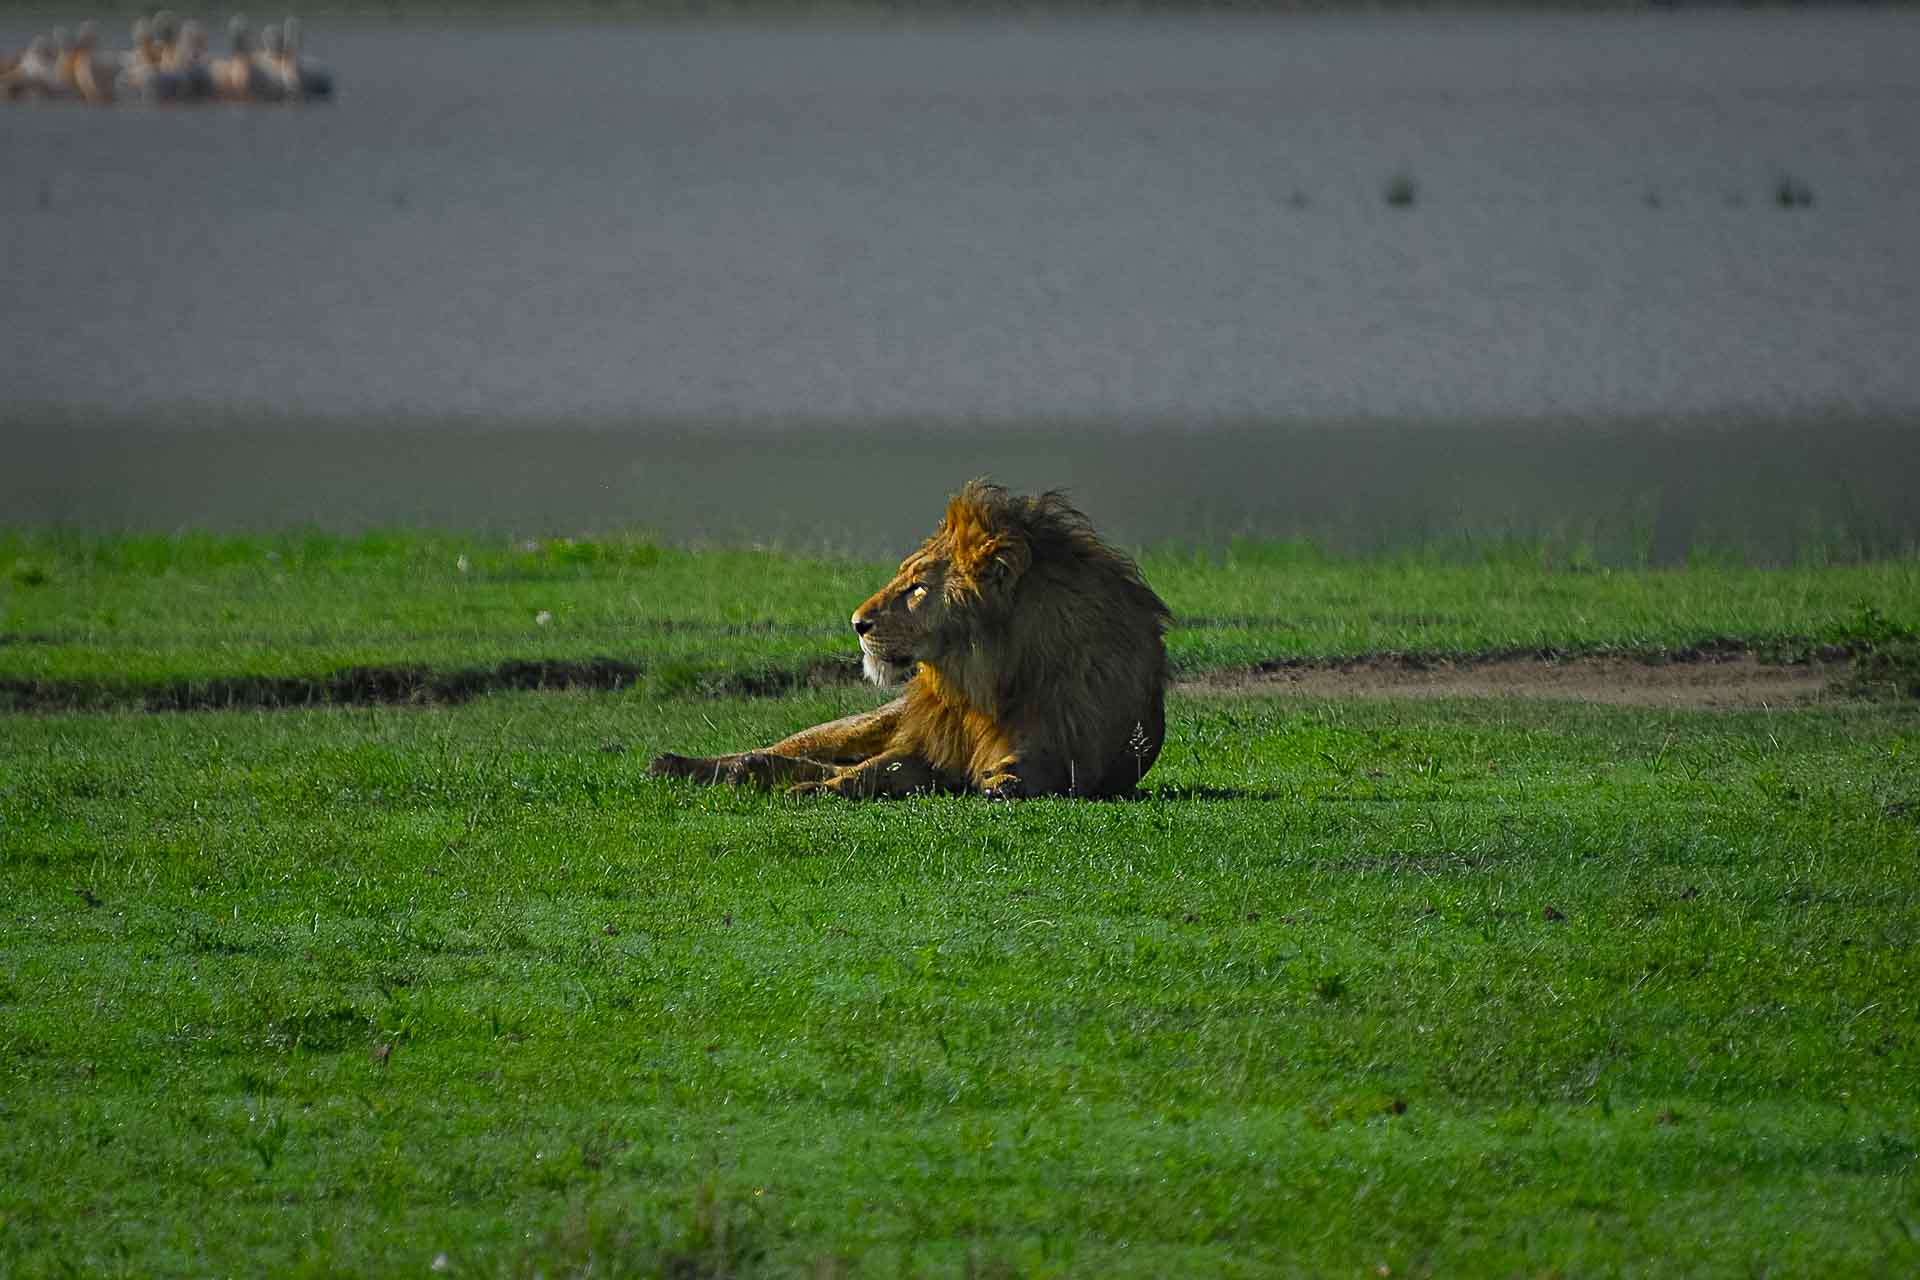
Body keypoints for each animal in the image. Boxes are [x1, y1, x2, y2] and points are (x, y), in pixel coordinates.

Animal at [645, 483, 1167, 802]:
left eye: (917, 589)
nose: (857, 624)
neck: (983, 681)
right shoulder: (926, 747)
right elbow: (868, 771)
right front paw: (816, 791)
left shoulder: (1070, 748)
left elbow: (1034, 768)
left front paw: (1004, 781)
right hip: (862, 722)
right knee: (794, 748)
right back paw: (682, 764)